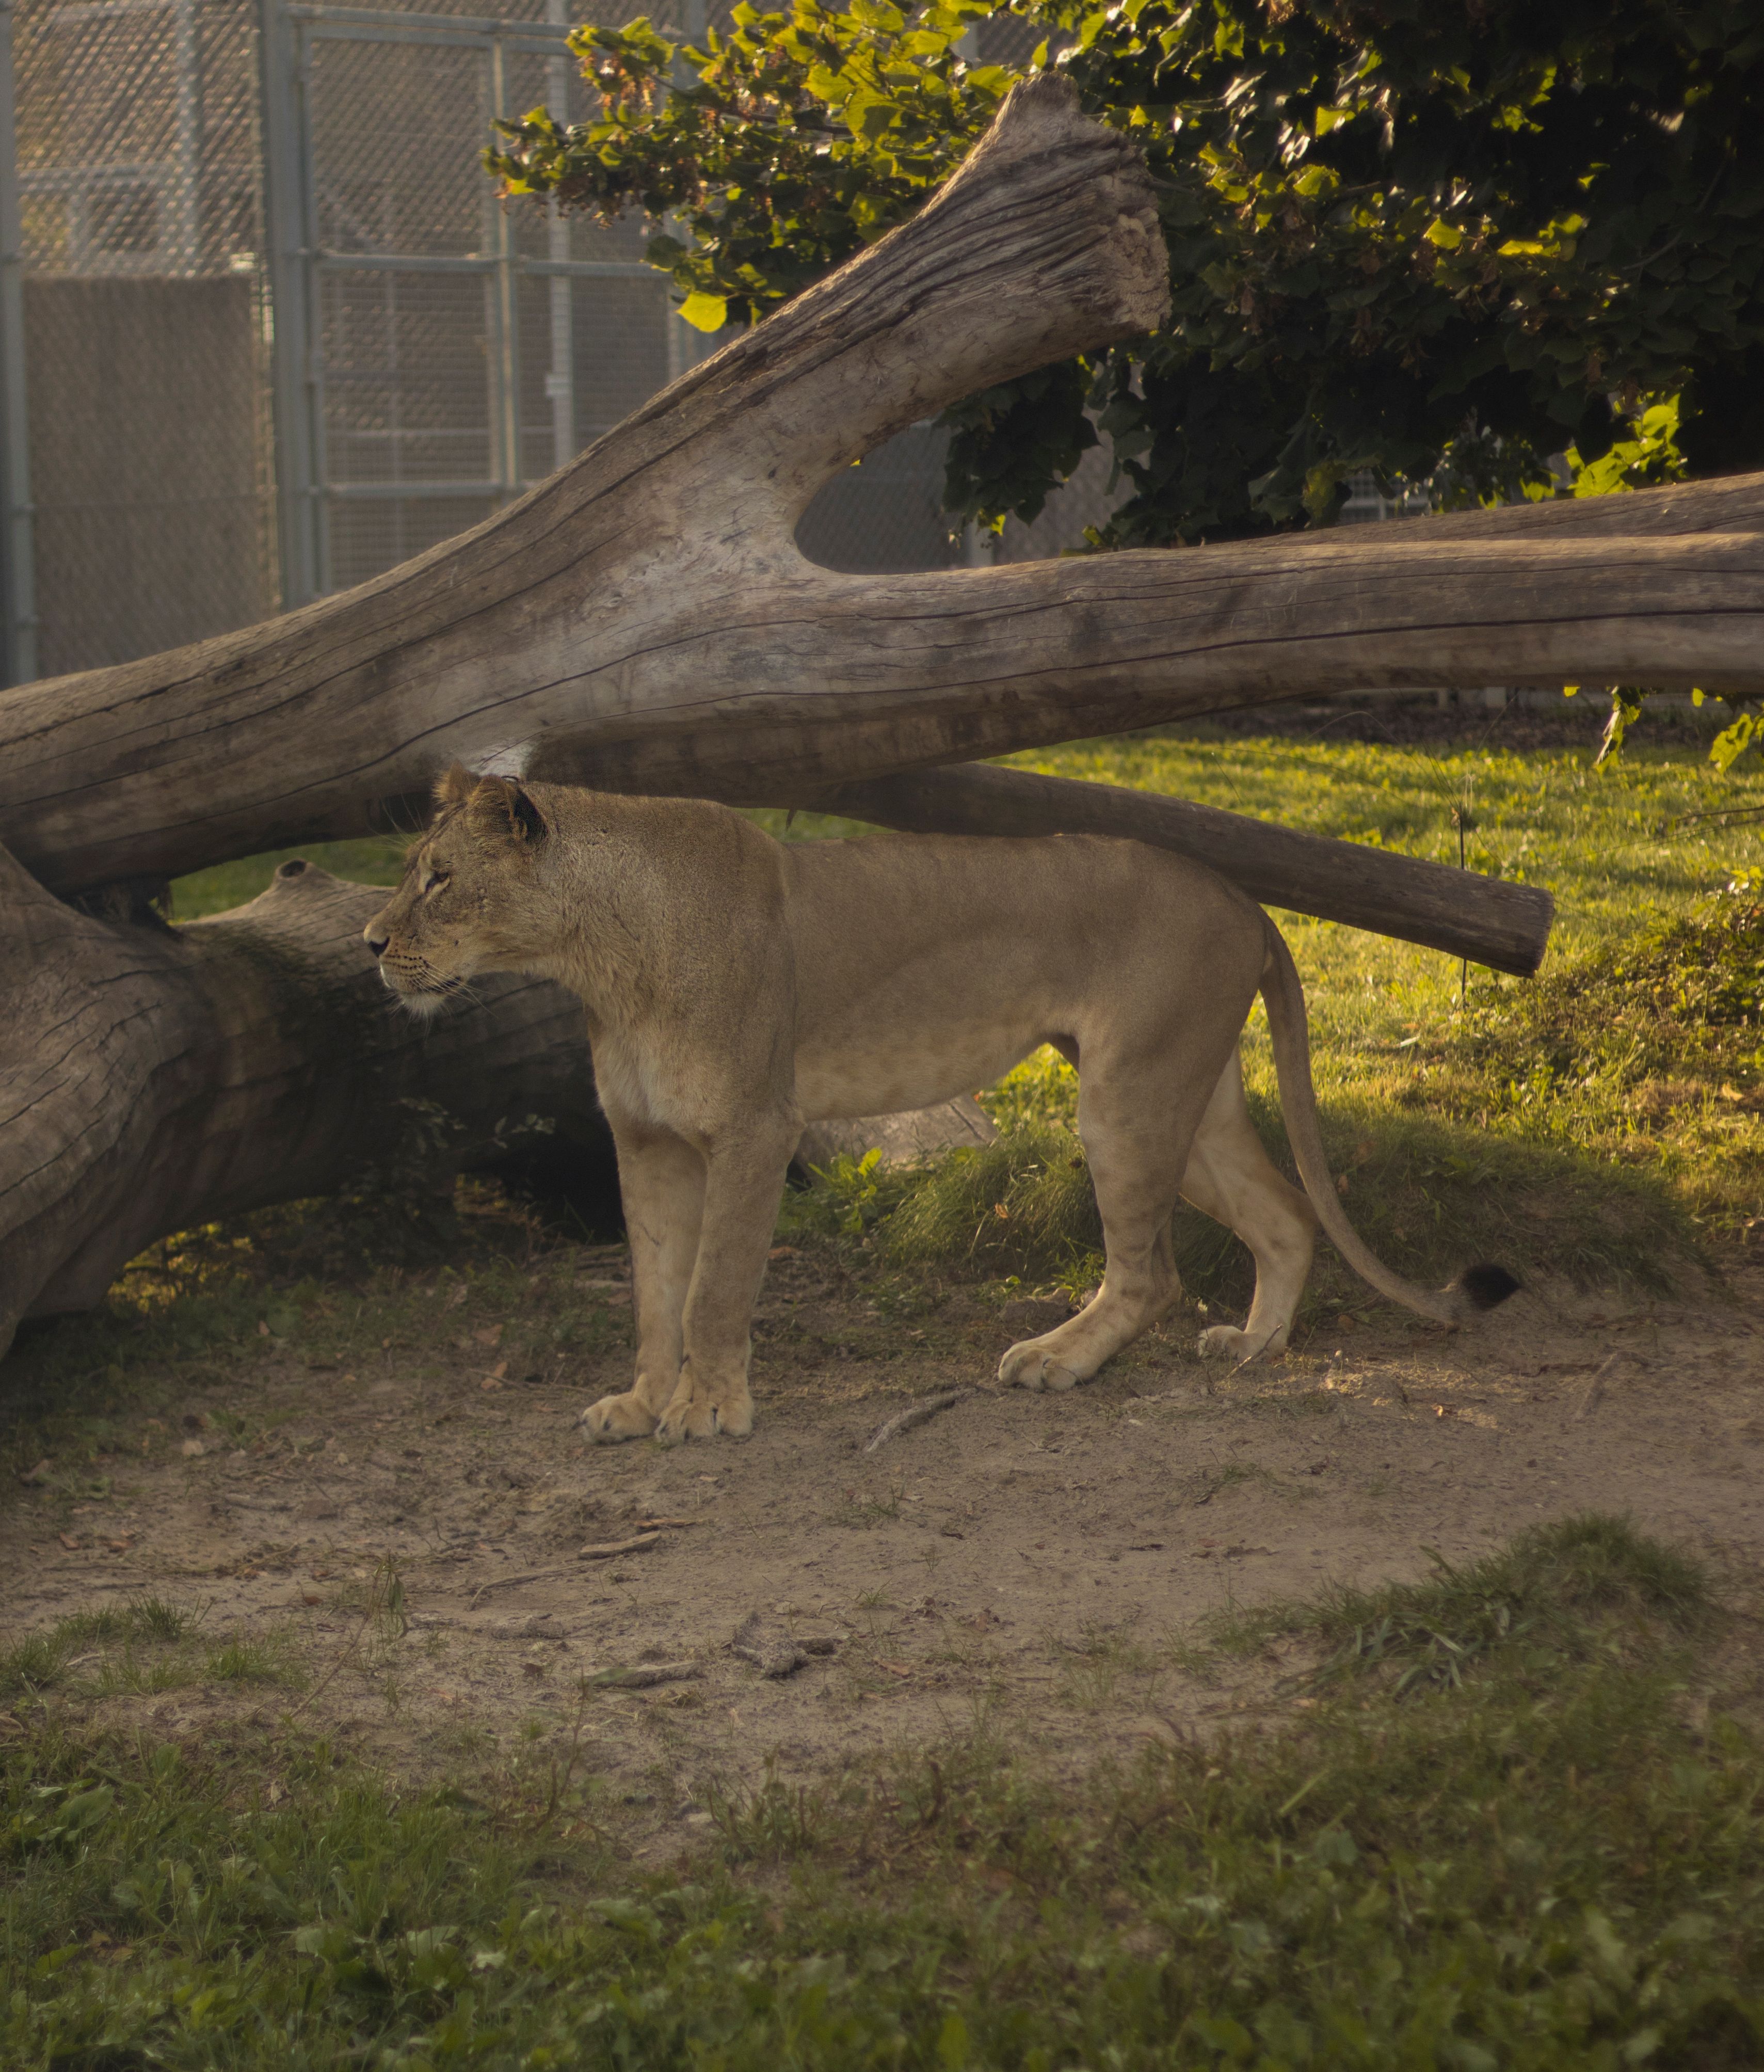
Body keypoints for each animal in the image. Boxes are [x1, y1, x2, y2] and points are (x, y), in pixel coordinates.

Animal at [364, 768, 1516, 1444]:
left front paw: (707, 1410)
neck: (599, 958)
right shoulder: (646, 1140)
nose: (371, 944)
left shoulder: (755, 1127)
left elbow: (712, 1289)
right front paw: (644, 1402)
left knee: (1151, 1273)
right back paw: (1250, 1348)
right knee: (1281, 1216)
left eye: (438, 878)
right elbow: (653, 1293)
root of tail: (1243, 898)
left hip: (1124, 1093)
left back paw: (1057, 1360)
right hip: (1187, 1092)